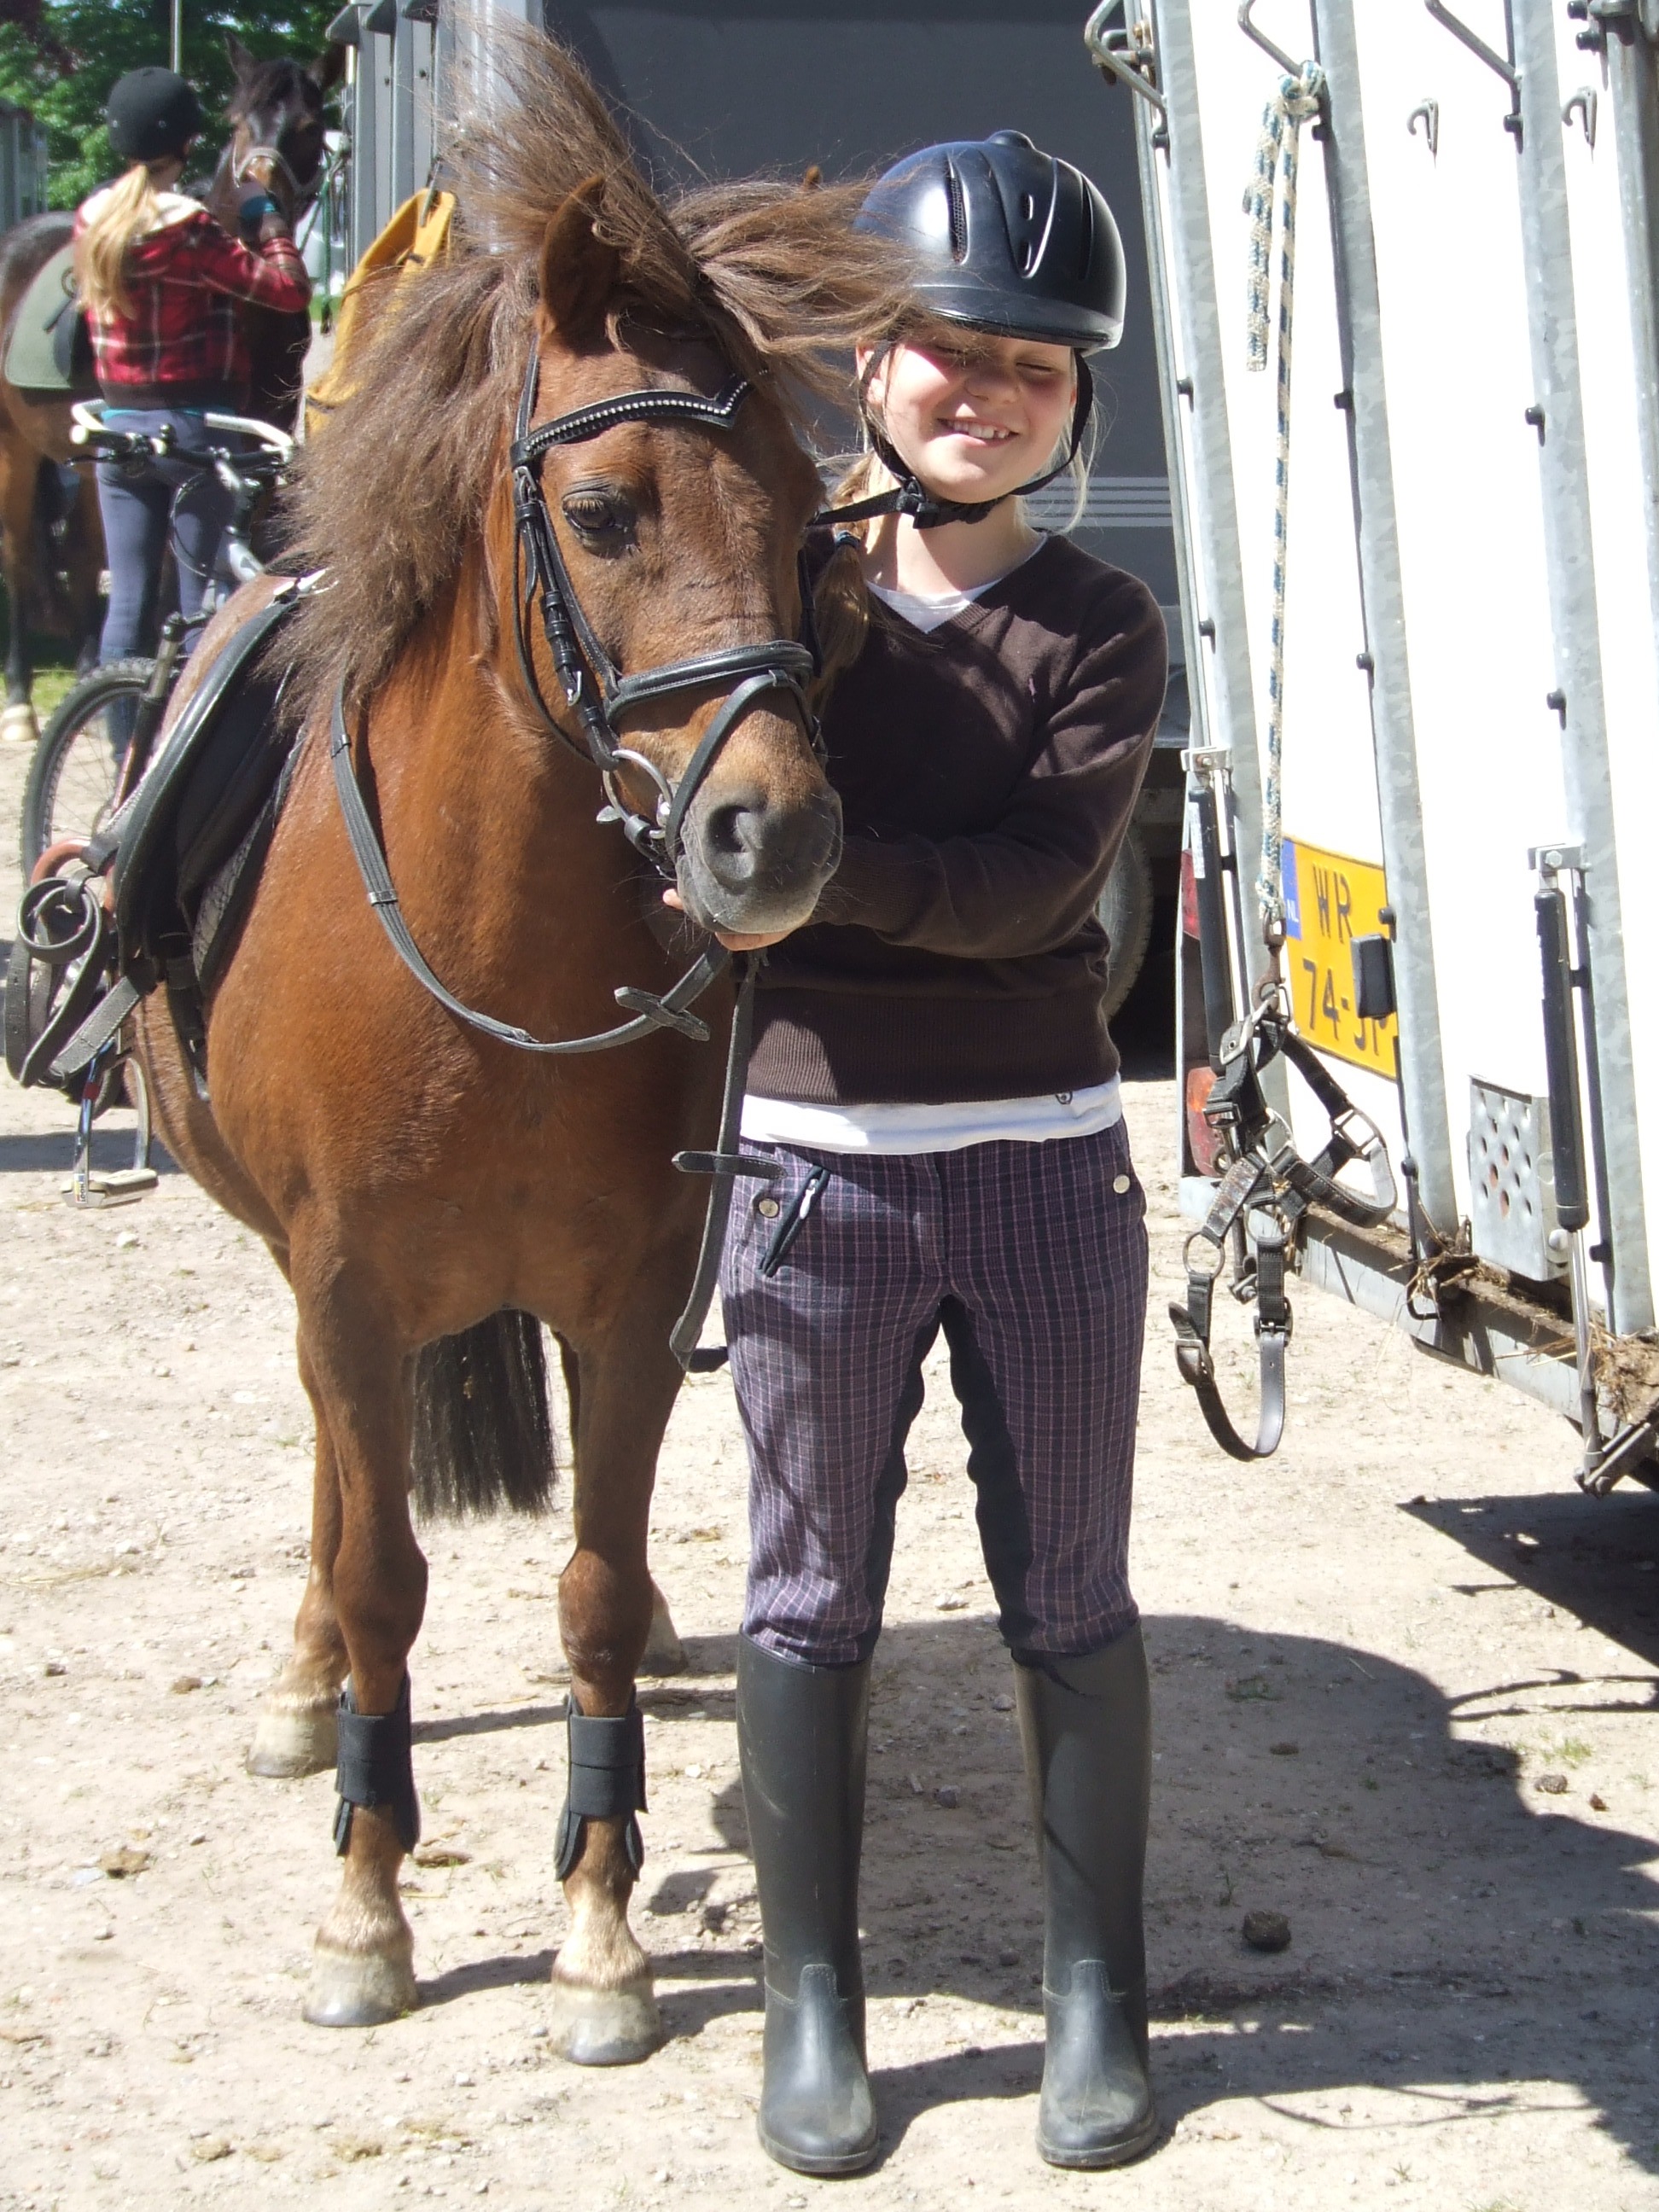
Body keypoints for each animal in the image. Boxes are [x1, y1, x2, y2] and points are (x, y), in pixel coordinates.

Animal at [131, 17, 911, 2052]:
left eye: (809, 525)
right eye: (605, 510)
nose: (775, 835)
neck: (488, 976)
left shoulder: (631, 1296)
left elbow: (591, 1581)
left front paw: (602, 1921)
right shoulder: (343, 1288)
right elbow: (382, 1572)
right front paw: (365, 1903)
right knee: (339, 1494)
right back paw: (302, 1684)